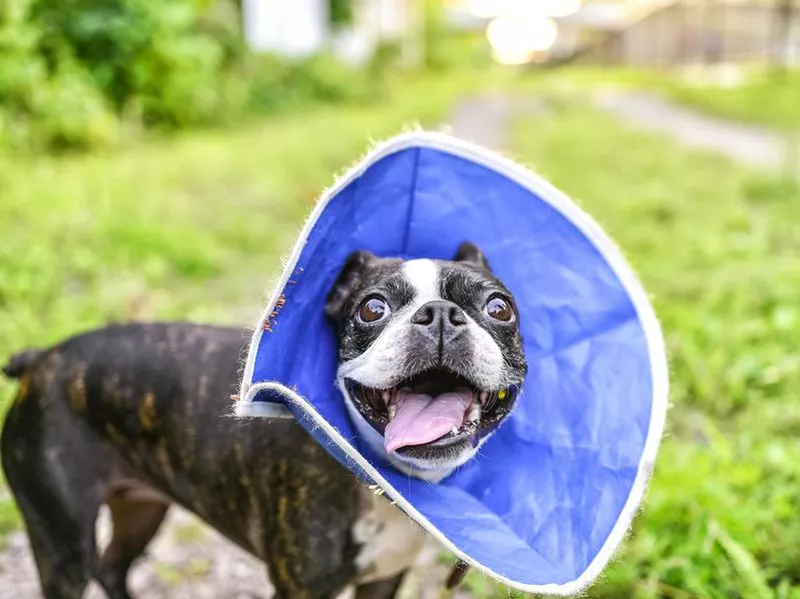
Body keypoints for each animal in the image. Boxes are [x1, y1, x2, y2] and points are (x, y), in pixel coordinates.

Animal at [3, 244, 528, 599]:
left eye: (499, 307)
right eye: (372, 307)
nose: (438, 313)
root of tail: (40, 361)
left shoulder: (383, 579)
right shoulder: (300, 588)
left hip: (141, 507)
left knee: (113, 567)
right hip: (63, 542)